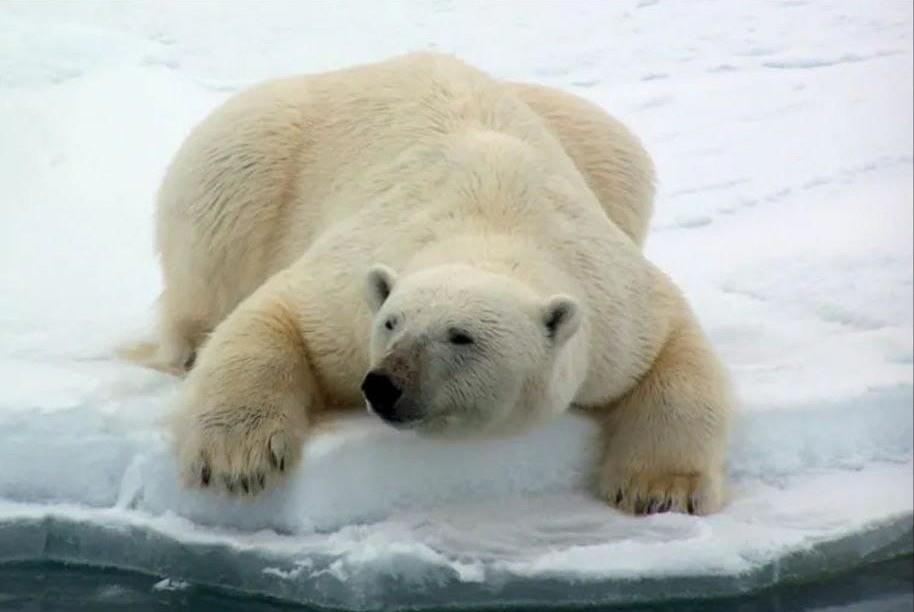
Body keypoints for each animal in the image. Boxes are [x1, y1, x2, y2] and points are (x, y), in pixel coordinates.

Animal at [128, 52, 732, 512]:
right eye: (391, 323)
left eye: (461, 336)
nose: (382, 383)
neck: (493, 222)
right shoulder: (349, 290)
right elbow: (278, 313)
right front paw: (238, 460)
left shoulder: (613, 302)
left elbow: (676, 354)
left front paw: (660, 491)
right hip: (256, 149)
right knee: (218, 216)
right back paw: (188, 345)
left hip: (592, 142)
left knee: (619, 153)